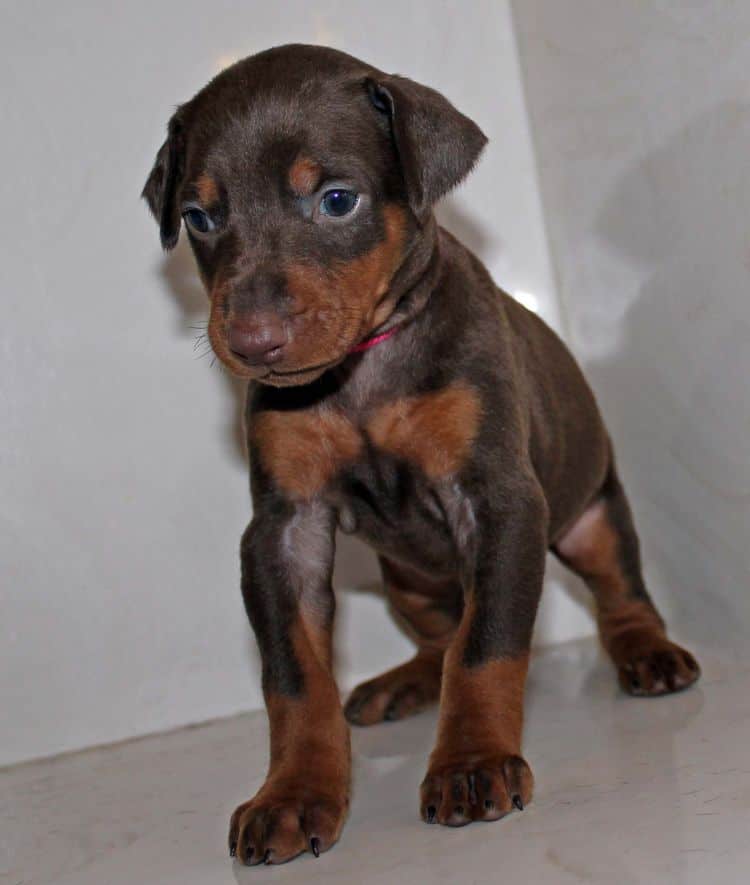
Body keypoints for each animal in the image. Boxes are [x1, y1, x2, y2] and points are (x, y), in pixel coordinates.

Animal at [144, 41, 704, 864]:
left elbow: (486, 646)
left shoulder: (499, 500)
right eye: (198, 217)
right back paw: (402, 682)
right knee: (439, 635)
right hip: (406, 579)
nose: (250, 342)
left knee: (614, 590)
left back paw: (647, 651)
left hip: (588, 516)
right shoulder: (282, 529)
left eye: (337, 200)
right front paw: (294, 793)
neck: (361, 369)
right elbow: (294, 676)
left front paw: (471, 761)